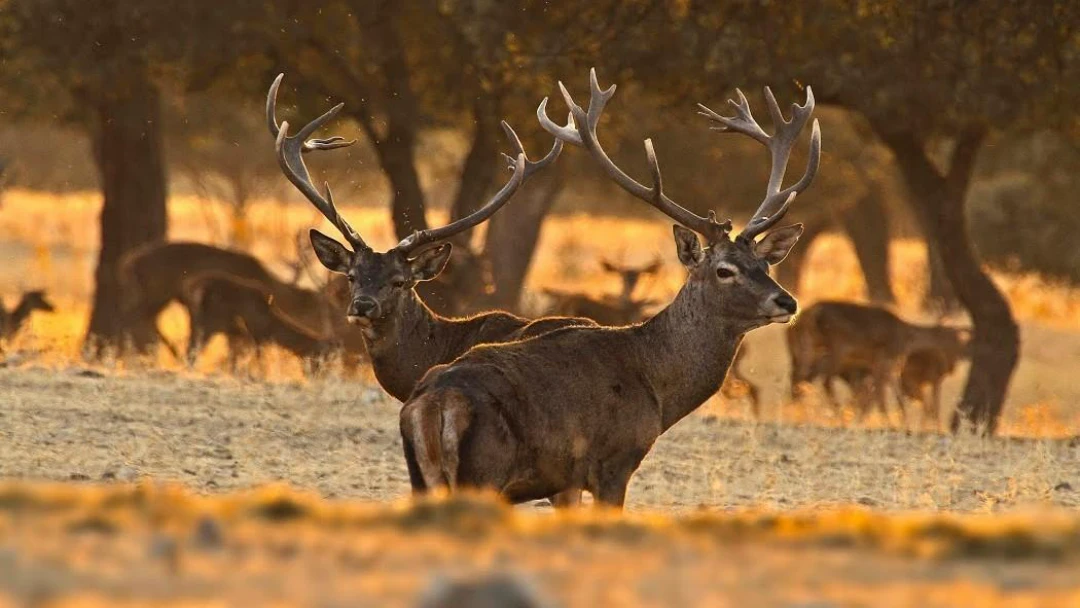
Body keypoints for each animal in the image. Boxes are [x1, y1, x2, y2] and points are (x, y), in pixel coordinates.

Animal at [398, 69, 820, 509]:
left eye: (766, 264)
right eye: (724, 270)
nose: (787, 301)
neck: (656, 387)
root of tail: (433, 404)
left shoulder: (564, 481)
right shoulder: (614, 461)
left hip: (422, 475)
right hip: (483, 473)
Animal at [787, 300, 970, 425]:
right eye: (950, 337)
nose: (950, 366)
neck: (906, 338)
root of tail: (812, 314)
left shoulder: (883, 364)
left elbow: (887, 393)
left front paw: (900, 421)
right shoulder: (886, 359)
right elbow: (880, 393)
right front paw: (889, 421)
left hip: (810, 348)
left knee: (802, 377)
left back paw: (798, 410)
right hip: (838, 347)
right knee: (822, 379)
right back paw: (835, 412)